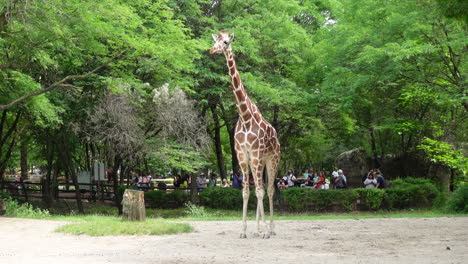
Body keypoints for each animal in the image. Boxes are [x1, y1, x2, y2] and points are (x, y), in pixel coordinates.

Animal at [210, 29, 280, 238]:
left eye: (226, 42)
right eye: (216, 40)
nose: (212, 50)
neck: (245, 114)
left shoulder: (255, 155)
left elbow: (260, 192)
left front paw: (264, 231)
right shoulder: (243, 156)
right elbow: (247, 192)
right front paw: (244, 231)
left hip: (272, 159)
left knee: (270, 190)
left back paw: (271, 229)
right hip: (260, 161)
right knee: (260, 187)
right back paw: (258, 229)